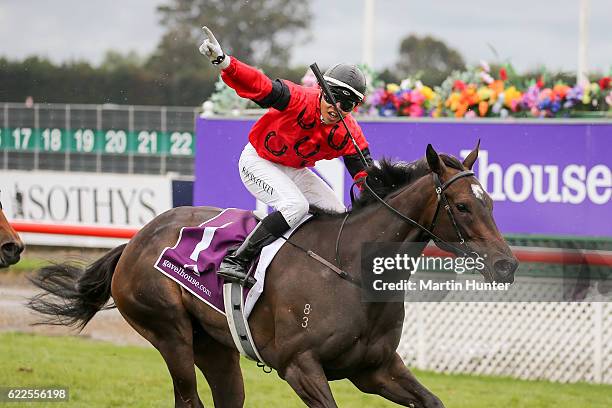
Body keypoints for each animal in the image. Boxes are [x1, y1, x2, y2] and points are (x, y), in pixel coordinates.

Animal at [28, 144, 516, 408]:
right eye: (462, 206)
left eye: (490, 202)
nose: (506, 264)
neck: (350, 269)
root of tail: (135, 240)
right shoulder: (301, 367)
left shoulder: (375, 369)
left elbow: (431, 399)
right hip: (169, 333)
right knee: (187, 396)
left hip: (216, 347)